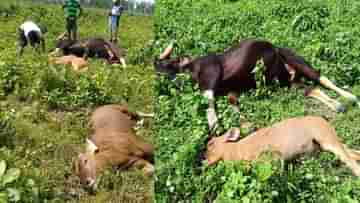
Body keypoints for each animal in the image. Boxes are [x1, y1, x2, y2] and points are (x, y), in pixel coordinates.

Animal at [205, 116, 360, 176]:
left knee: (350, 160)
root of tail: (324, 120)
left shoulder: (271, 157)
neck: (236, 150)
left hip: (327, 139)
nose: (203, 160)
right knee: (352, 152)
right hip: (325, 145)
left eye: (210, 144)